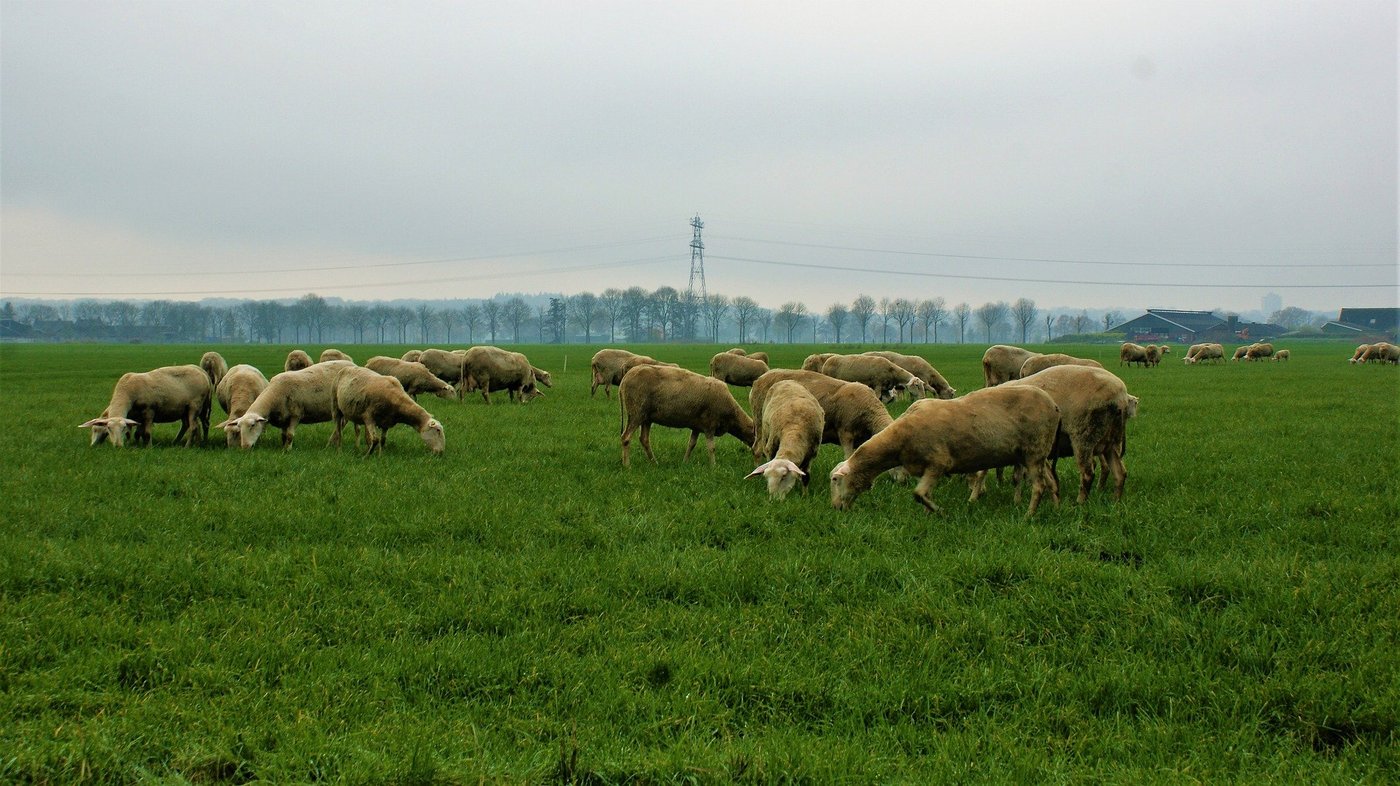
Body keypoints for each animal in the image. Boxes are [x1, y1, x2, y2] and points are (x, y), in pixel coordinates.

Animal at [81, 365, 214, 448]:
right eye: (108, 428)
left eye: (96, 429)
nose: (118, 446)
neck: (126, 393)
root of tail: (203, 374)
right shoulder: (135, 416)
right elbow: (135, 433)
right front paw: (135, 444)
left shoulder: (149, 411)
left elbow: (147, 432)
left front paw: (148, 447)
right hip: (191, 409)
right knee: (194, 425)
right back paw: (191, 443)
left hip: (194, 406)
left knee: (193, 427)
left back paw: (187, 446)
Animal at [215, 360, 358, 449]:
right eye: (239, 428)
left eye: (253, 425)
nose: (245, 447)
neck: (274, 395)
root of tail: (352, 364)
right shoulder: (283, 417)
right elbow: (283, 436)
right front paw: (283, 448)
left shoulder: (296, 415)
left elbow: (290, 435)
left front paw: (287, 450)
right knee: (341, 424)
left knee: (340, 425)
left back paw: (330, 443)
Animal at [619, 364, 755, 466]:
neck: (732, 413)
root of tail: (625, 379)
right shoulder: (709, 425)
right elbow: (711, 447)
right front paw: (713, 466)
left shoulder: (697, 426)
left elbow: (691, 445)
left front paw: (685, 462)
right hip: (636, 412)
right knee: (626, 438)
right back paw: (627, 465)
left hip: (646, 417)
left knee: (644, 439)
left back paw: (654, 463)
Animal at [829, 385, 1061, 517]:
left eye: (836, 480)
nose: (836, 508)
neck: (900, 438)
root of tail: (1054, 404)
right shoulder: (925, 468)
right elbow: (924, 494)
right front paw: (928, 513)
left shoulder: (938, 463)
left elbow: (918, 494)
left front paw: (940, 512)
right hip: (1035, 452)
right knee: (1050, 481)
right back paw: (1055, 508)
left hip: (1034, 449)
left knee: (1039, 485)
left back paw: (1029, 515)